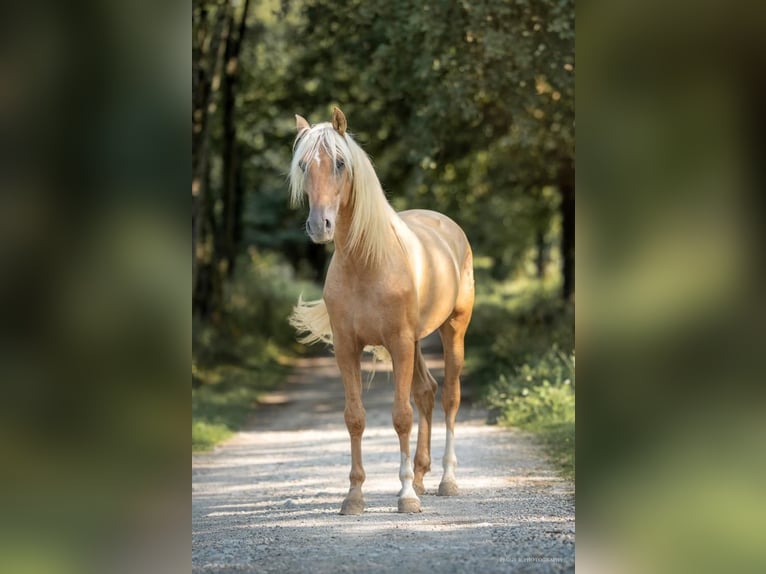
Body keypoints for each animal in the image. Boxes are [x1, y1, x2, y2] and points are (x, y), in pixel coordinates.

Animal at [288, 108, 474, 516]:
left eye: (340, 163)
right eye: (304, 165)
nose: (319, 225)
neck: (366, 262)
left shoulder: (399, 343)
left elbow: (401, 417)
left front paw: (405, 496)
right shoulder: (348, 348)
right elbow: (355, 418)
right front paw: (354, 496)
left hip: (452, 330)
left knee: (449, 397)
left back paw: (446, 480)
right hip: (418, 342)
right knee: (426, 392)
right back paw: (420, 475)